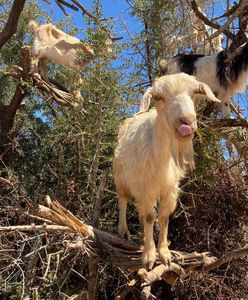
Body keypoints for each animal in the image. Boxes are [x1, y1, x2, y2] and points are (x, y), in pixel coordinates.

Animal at [113, 73, 220, 270]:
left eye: (195, 92)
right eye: (159, 97)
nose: (187, 121)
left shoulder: (170, 187)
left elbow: (163, 217)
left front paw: (164, 253)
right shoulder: (145, 186)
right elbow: (150, 217)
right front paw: (149, 255)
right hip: (121, 177)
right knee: (123, 201)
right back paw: (123, 231)